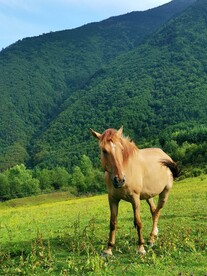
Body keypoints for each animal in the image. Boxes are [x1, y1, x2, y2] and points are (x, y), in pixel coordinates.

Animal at [90, 126, 180, 256]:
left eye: (122, 149)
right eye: (104, 150)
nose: (120, 180)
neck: (126, 169)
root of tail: (165, 155)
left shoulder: (135, 198)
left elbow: (138, 222)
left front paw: (141, 248)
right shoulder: (112, 199)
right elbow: (113, 223)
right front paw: (108, 249)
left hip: (165, 192)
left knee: (157, 212)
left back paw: (151, 239)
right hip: (148, 195)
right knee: (153, 210)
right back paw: (154, 234)